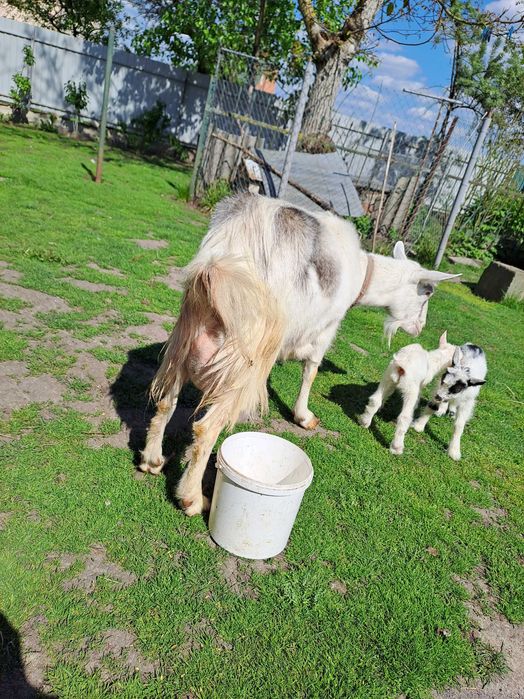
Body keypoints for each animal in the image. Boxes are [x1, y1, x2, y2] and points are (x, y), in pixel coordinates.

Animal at [139, 193, 459, 515]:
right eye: (427, 292)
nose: (420, 327)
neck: (361, 271)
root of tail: (229, 248)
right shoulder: (326, 329)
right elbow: (311, 370)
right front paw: (304, 416)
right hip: (247, 354)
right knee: (206, 428)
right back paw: (192, 499)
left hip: (183, 341)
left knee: (165, 400)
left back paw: (152, 461)